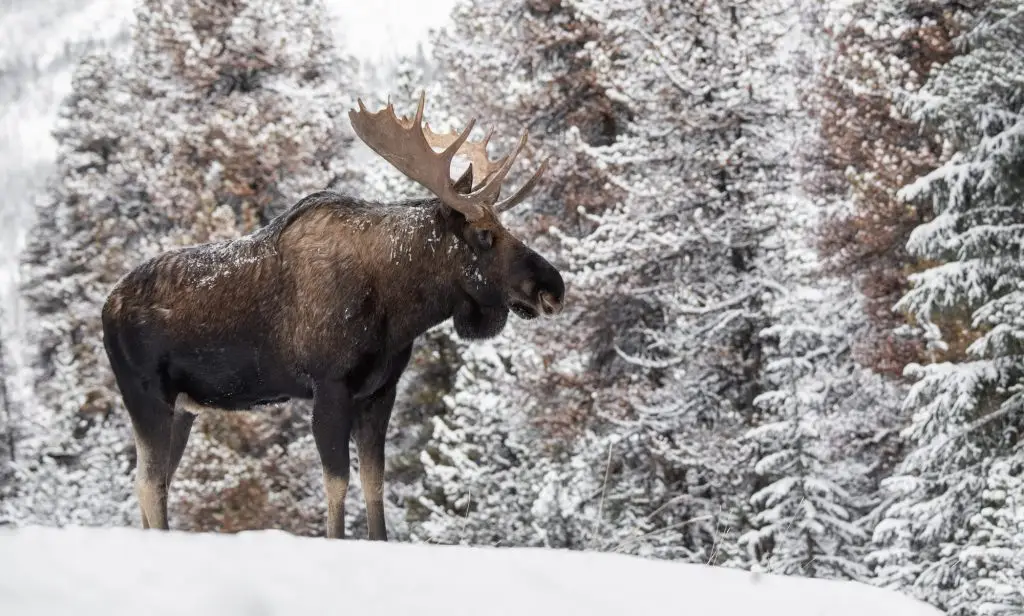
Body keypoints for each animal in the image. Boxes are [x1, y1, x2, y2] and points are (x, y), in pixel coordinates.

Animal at [101, 93, 565, 540]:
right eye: (485, 234)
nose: (553, 287)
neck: (399, 310)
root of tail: (107, 308)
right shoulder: (329, 387)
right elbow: (337, 485)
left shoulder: (379, 392)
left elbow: (374, 484)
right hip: (147, 395)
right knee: (150, 483)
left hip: (184, 407)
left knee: (155, 481)